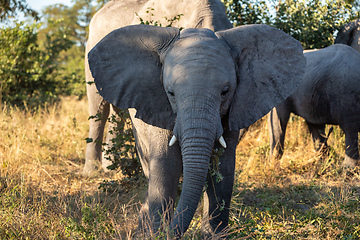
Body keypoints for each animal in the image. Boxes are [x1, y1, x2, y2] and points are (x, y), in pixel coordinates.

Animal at [88, 23, 306, 236]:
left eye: (225, 91)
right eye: (170, 93)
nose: (170, 232)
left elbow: (223, 168)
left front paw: (214, 235)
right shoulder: (159, 106)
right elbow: (166, 165)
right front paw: (155, 234)